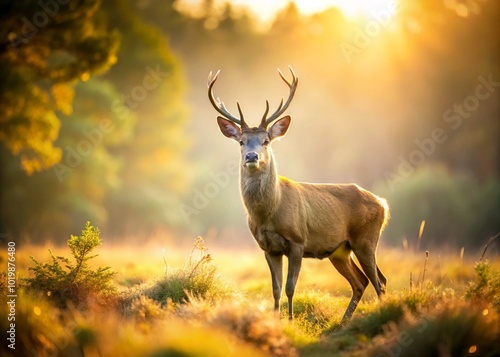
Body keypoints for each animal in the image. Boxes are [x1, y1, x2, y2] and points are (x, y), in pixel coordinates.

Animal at [207, 66, 390, 320]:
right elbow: (275, 288)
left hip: (366, 239)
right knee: (361, 281)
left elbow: (290, 287)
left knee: (379, 281)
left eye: (266, 140)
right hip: (340, 250)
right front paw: (276, 318)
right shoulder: (267, 247)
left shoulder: (298, 241)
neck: (269, 213)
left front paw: (291, 320)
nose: (252, 156)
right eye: (241, 142)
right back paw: (343, 322)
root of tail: (383, 204)